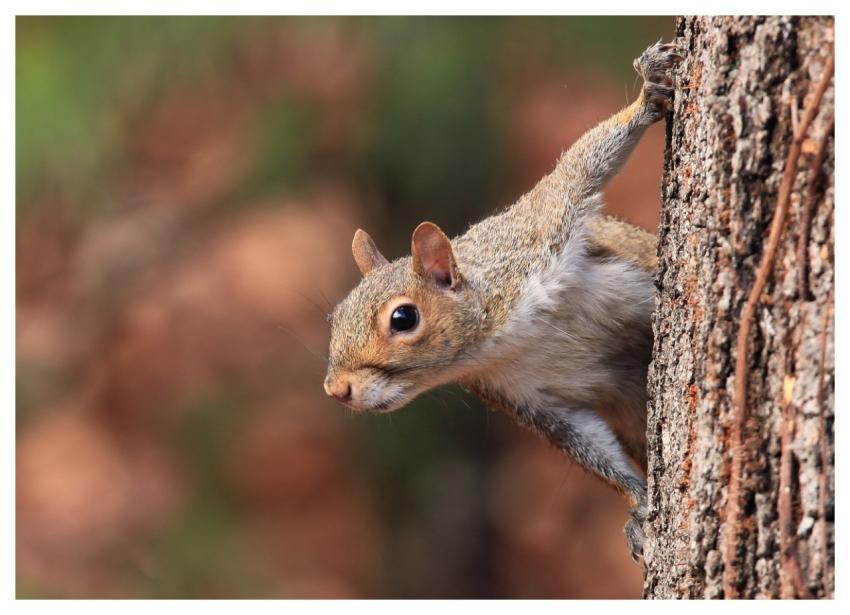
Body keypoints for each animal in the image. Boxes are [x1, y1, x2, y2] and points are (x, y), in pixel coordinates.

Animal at [324, 41, 683, 562]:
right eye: (334, 316)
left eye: (404, 318)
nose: (336, 390)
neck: (501, 339)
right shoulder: (527, 398)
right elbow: (587, 445)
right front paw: (639, 505)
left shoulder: (537, 234)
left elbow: (580, 168)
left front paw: (646, 94)